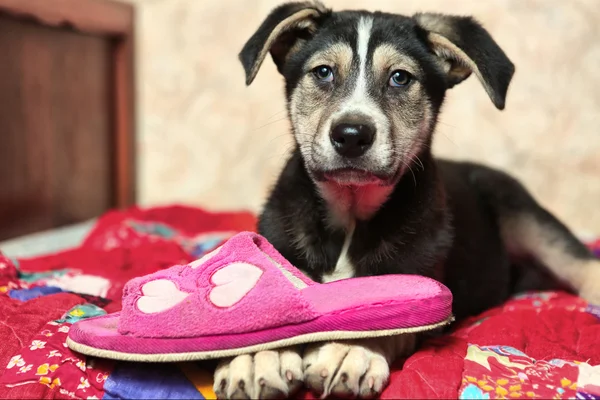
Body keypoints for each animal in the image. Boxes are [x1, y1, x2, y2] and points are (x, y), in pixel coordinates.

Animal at [213, 1, 596, 398]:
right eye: (323, 72)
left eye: (400, 78)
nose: (352, 135)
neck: (351, 212)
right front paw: (255, 358)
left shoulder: (423, 286)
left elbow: (389, 311)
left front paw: (350, 350)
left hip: (524, 214)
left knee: (582, 264)